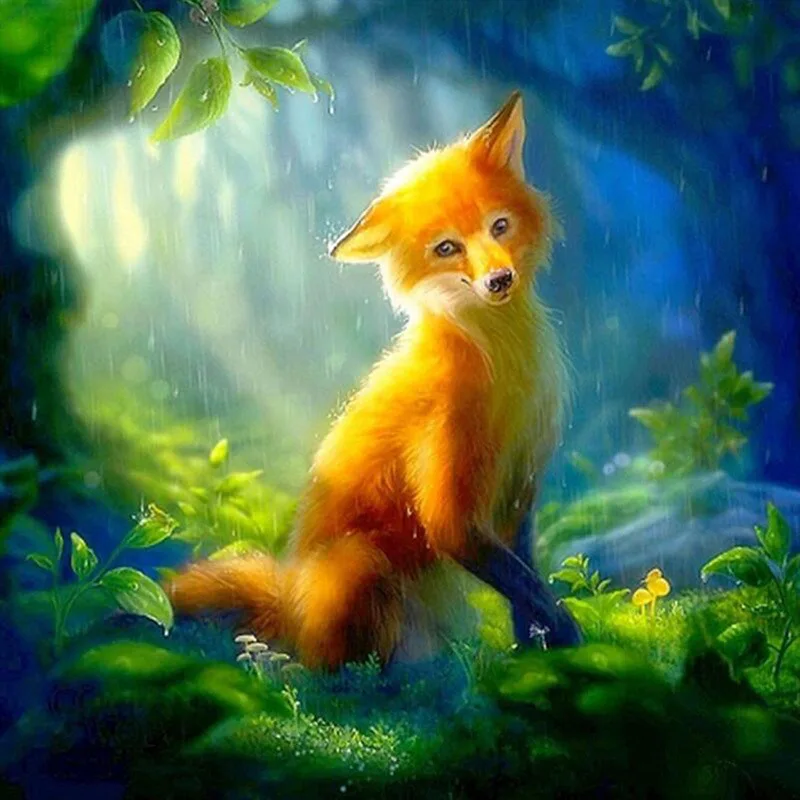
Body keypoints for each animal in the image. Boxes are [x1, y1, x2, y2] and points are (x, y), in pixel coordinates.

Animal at [167, 92, 581, 668]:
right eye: (447, 248)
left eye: (499, 226)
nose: (499, 280)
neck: (500, 370)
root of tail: (289, 603)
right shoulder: (451, 504)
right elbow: (524, 583)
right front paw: (569, 637)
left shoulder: (519, 485)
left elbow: (526, 587)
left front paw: (537, 657)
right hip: (358, 562)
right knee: (333, 666)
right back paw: (296, 667)